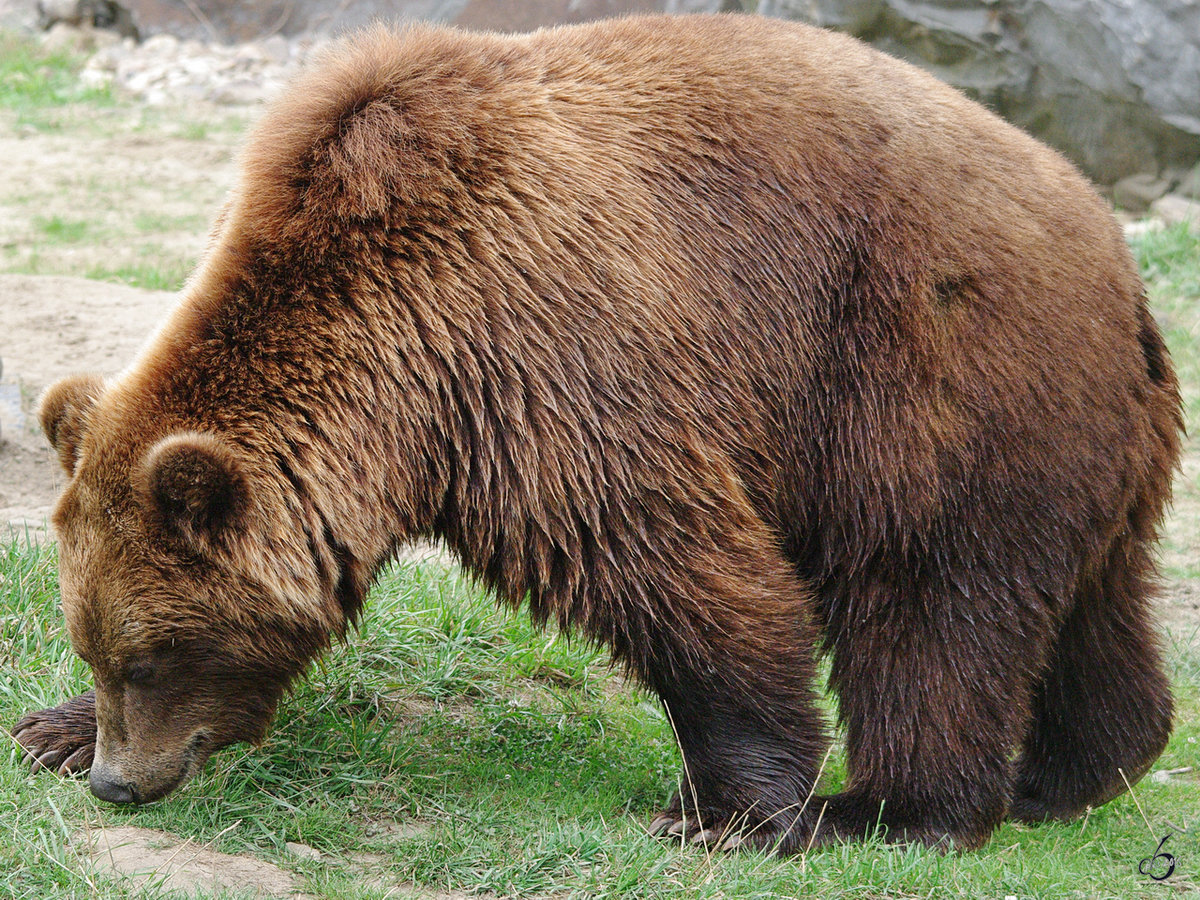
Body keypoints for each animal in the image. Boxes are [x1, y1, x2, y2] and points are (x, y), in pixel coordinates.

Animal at [7, 17, 1180, 854]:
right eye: (97, 647)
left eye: (156, 656)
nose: (123, 781)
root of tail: (1118, 256)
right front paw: (48, 730)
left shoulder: (538, 349)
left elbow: (672, 567)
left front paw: (728, 812)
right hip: (1082, 431)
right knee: (1094, 597)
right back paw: (1077, 773)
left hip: (932, 373)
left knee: (928, 595)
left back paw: (901, 810)